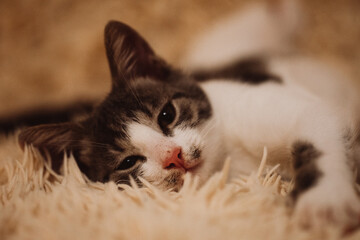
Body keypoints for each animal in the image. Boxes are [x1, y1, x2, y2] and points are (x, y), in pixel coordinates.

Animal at [17, 0, 360, 229]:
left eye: (166, 115)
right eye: (128, 162)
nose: (173, 155)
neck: (230, 156)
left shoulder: (284, 105)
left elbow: (316, 133)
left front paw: (324, 200)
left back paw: (278, 11)